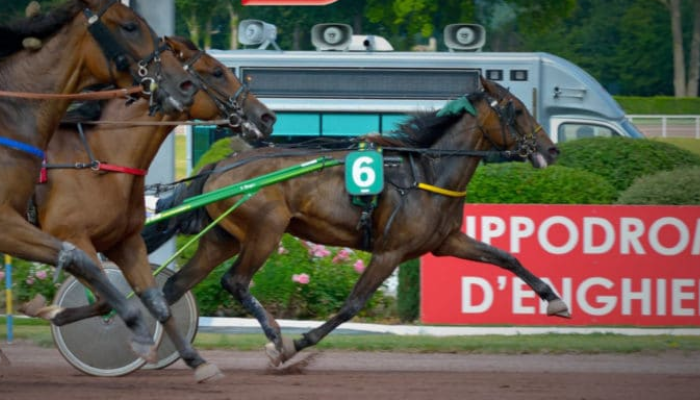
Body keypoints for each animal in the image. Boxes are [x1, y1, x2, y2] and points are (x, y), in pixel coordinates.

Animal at [0, 0, 197, 362]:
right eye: (130, 26)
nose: (185, 84)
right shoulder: (24, 224)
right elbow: (81, 263)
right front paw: (137, 329)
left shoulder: (122, 237)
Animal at [20, 36, 276, 380]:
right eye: (216, 72)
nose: (266, 116)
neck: (98, 157)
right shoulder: (74, 237)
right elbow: (106, 300)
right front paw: (50, 310)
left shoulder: (124, 240)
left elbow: (152, 301)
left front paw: (196, 361)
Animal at [145, 76, 572, 368]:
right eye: (517, 110)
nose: (552, 149)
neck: (427, 173)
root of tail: (219, 165)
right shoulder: (390, 251)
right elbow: (352, 304)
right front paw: (298, 344)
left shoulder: (446, 241)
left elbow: (506, 257)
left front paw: (556, 301)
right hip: (266, 230)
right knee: (234, 281)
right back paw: (276, 339)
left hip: (223, 238)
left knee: (173, 288)